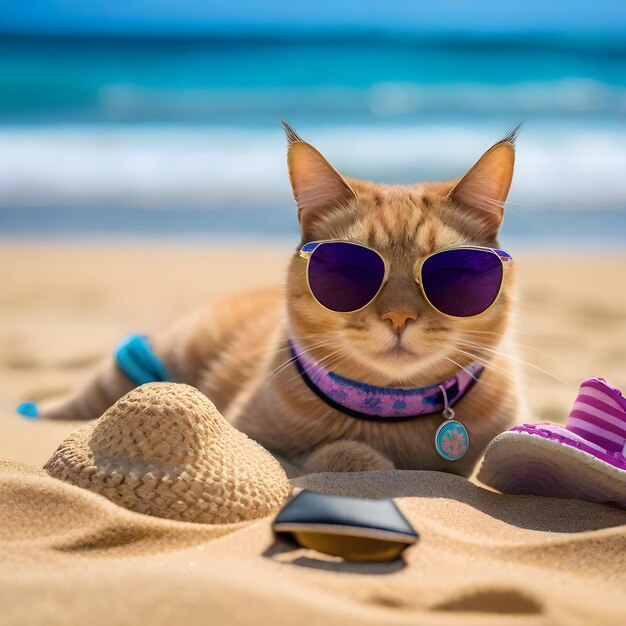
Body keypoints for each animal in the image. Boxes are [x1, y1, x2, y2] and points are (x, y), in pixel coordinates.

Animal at [36, 122, 520, 476]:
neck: (390, 411)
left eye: (452, 274)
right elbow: (341, 452)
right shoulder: (252, 438)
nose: (399, 316)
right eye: (350, 271)